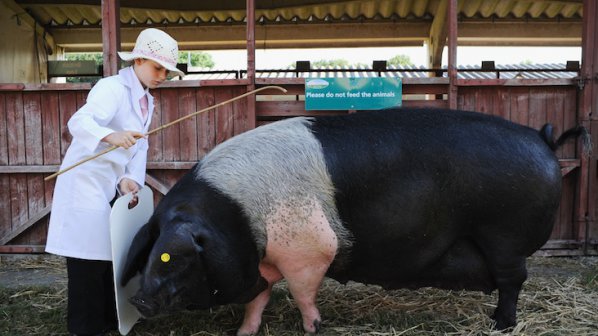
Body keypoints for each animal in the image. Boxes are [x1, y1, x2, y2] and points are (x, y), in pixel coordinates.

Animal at [120, 107, 592, 334]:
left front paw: (314, 328)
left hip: (504, 235)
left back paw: (501, 325)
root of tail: (542, 139)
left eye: (171, 256)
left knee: (513, 280)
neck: (235, 216)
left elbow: (302, 291)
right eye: (149, 252)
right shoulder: (265, 259)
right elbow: (261, 296)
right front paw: (245, 332)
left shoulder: (310, 246)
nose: (138, 300)